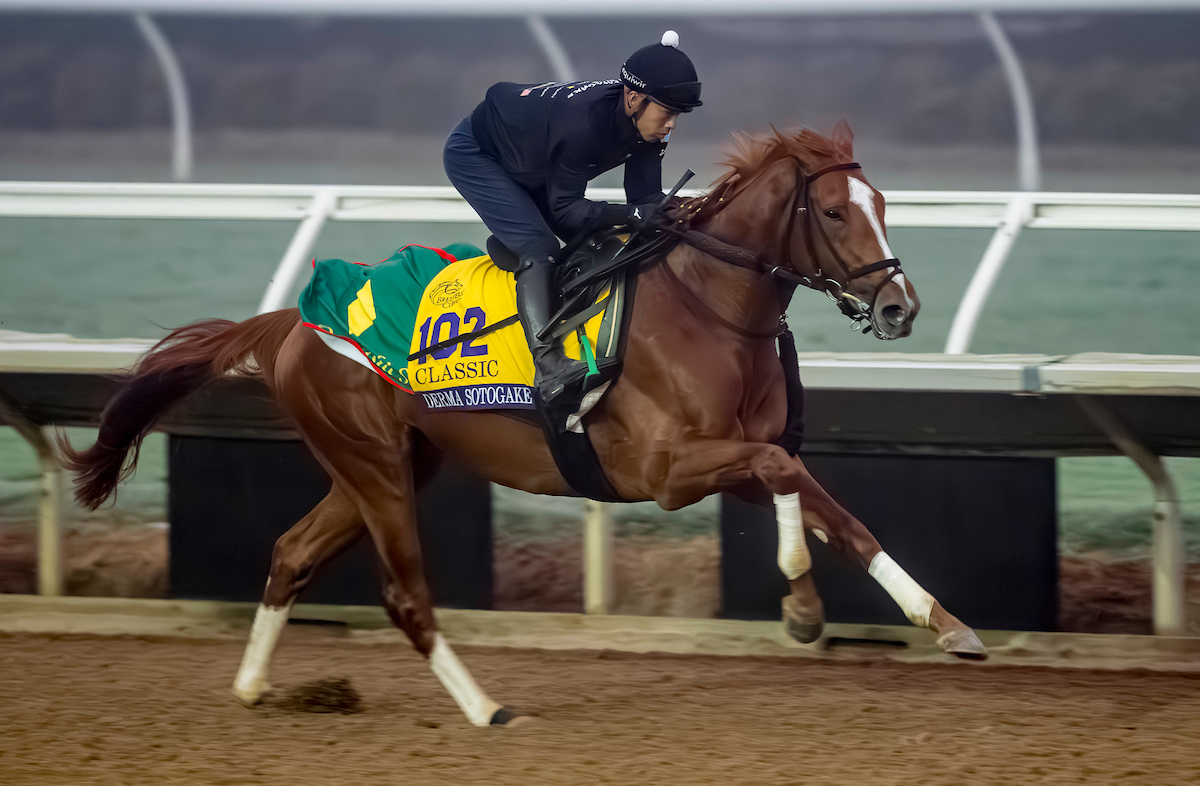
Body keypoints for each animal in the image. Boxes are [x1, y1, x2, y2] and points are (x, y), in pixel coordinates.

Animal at [59, 121, 986, 728]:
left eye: (883, 202)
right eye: (832, 213)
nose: (900, 307)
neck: (709, 309)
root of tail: (293, 318)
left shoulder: (732, 456)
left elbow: (838, 511)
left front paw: (946, 625)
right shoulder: (665, 470)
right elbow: (786, 474)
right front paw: (800, 602)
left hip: (388, 464)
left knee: (290, 555)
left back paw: (254, 687)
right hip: (375, 468)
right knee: (405, 595)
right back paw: (486, 708)